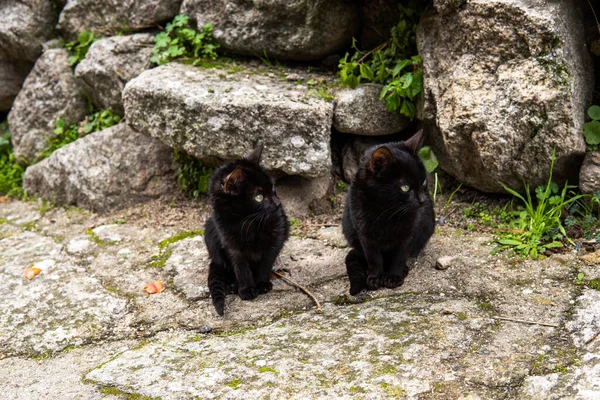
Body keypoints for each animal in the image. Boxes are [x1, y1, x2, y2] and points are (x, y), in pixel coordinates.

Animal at [205, 145, 290, 316]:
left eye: (272, 188)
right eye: (259, 197)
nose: (278, 204)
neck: (247, 222)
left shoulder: (276, 239)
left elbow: (266, 263)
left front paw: (262, 284)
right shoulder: (232, 245)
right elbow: (241, 267)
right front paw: (246, 289)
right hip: (210, 232)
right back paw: (232, 285)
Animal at [342, 130, 436, 296]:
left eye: (424, 182)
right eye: (405, 187)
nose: (423, 200)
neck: (387, 211)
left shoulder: (409, 233)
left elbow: (400, 256)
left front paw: (394, 277)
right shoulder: (365, 235)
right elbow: (374, 258)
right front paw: (375, 277)